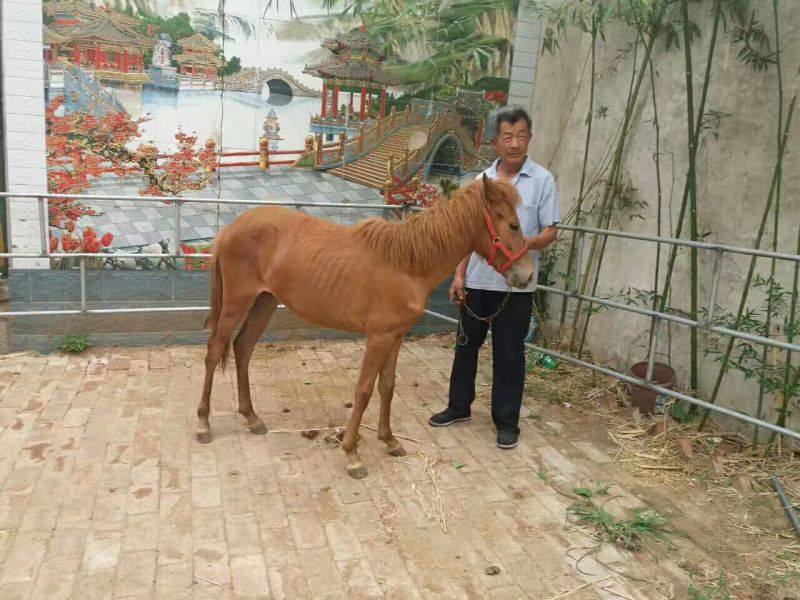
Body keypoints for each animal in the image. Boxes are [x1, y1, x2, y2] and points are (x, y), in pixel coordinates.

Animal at [197, 174, 534, 479]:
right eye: (513, 226)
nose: (527, 276)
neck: (407, 265)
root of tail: (230, 229)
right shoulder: (379, 337)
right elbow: (363, 390)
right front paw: (352, 454)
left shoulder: (396, 336)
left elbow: (387, 386)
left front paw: (390, 441)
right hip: (237, 303)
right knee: (215, 351)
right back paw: (203, 424)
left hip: (264, 302)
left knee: (242, 348)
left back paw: (252, 418)